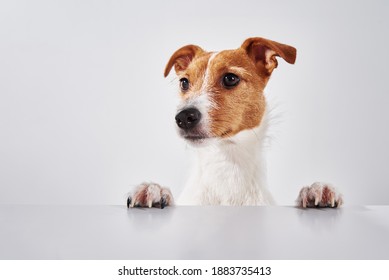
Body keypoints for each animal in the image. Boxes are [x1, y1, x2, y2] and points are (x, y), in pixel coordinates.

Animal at [126, 36, 342, 208]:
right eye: (184, 82)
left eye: (230, 78)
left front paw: (315, 190)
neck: (226, 165)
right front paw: (154, 189)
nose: (184, 117)